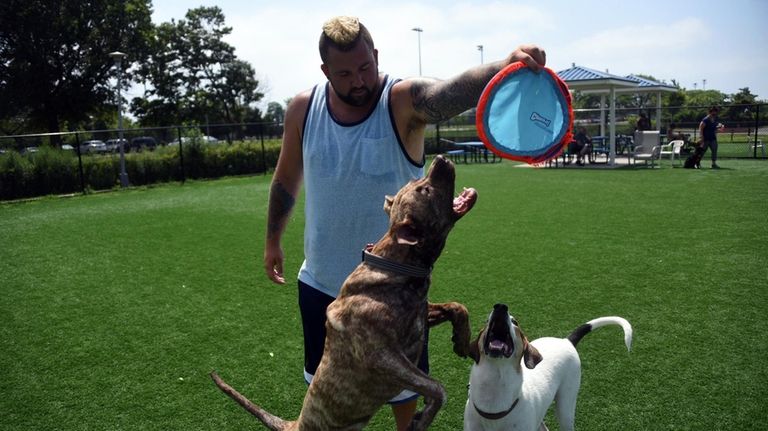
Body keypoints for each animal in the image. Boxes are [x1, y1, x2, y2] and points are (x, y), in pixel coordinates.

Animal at [213, 156, 476, 431]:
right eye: (424, 190)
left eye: (419, 182)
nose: (441, 159)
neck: (397, 264)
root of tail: (294, 424)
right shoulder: (381, 355)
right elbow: (438, 388)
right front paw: (424, 417)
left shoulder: (419, 315)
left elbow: (457, 306)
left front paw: (462, 338)